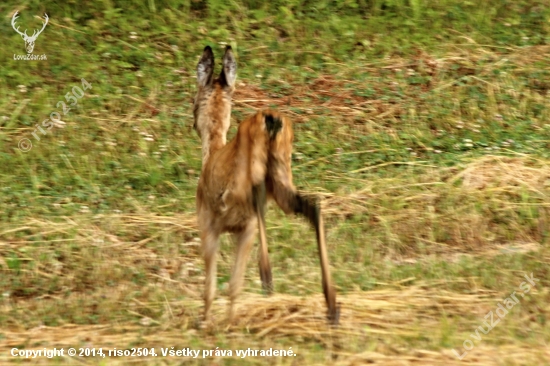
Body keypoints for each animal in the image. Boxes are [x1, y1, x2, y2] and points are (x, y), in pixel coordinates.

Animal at [194, 45, 340, 326]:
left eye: (193, 101)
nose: (193, 122)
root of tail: (271, 120)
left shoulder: (208, 222)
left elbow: (211, 287)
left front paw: (208, 323)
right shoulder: (240, 228)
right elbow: (234, 284)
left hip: (249, 177)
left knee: (260, 201)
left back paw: (268, 277)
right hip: (282, 173)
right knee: (312, 207)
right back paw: (331, 305)